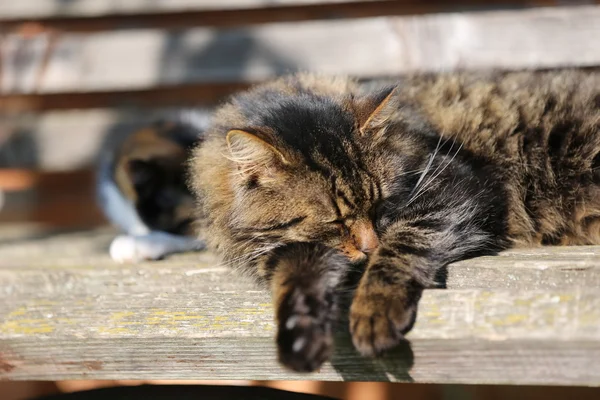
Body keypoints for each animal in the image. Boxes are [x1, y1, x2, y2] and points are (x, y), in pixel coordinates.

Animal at [191, 71, 600, 372]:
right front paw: (300, 333)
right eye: (335, 222)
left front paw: (374, 310)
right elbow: (296, 283)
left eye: (381, 206)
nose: (369, 247)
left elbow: (401, 246)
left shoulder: (456, 185)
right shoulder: (292, 251)